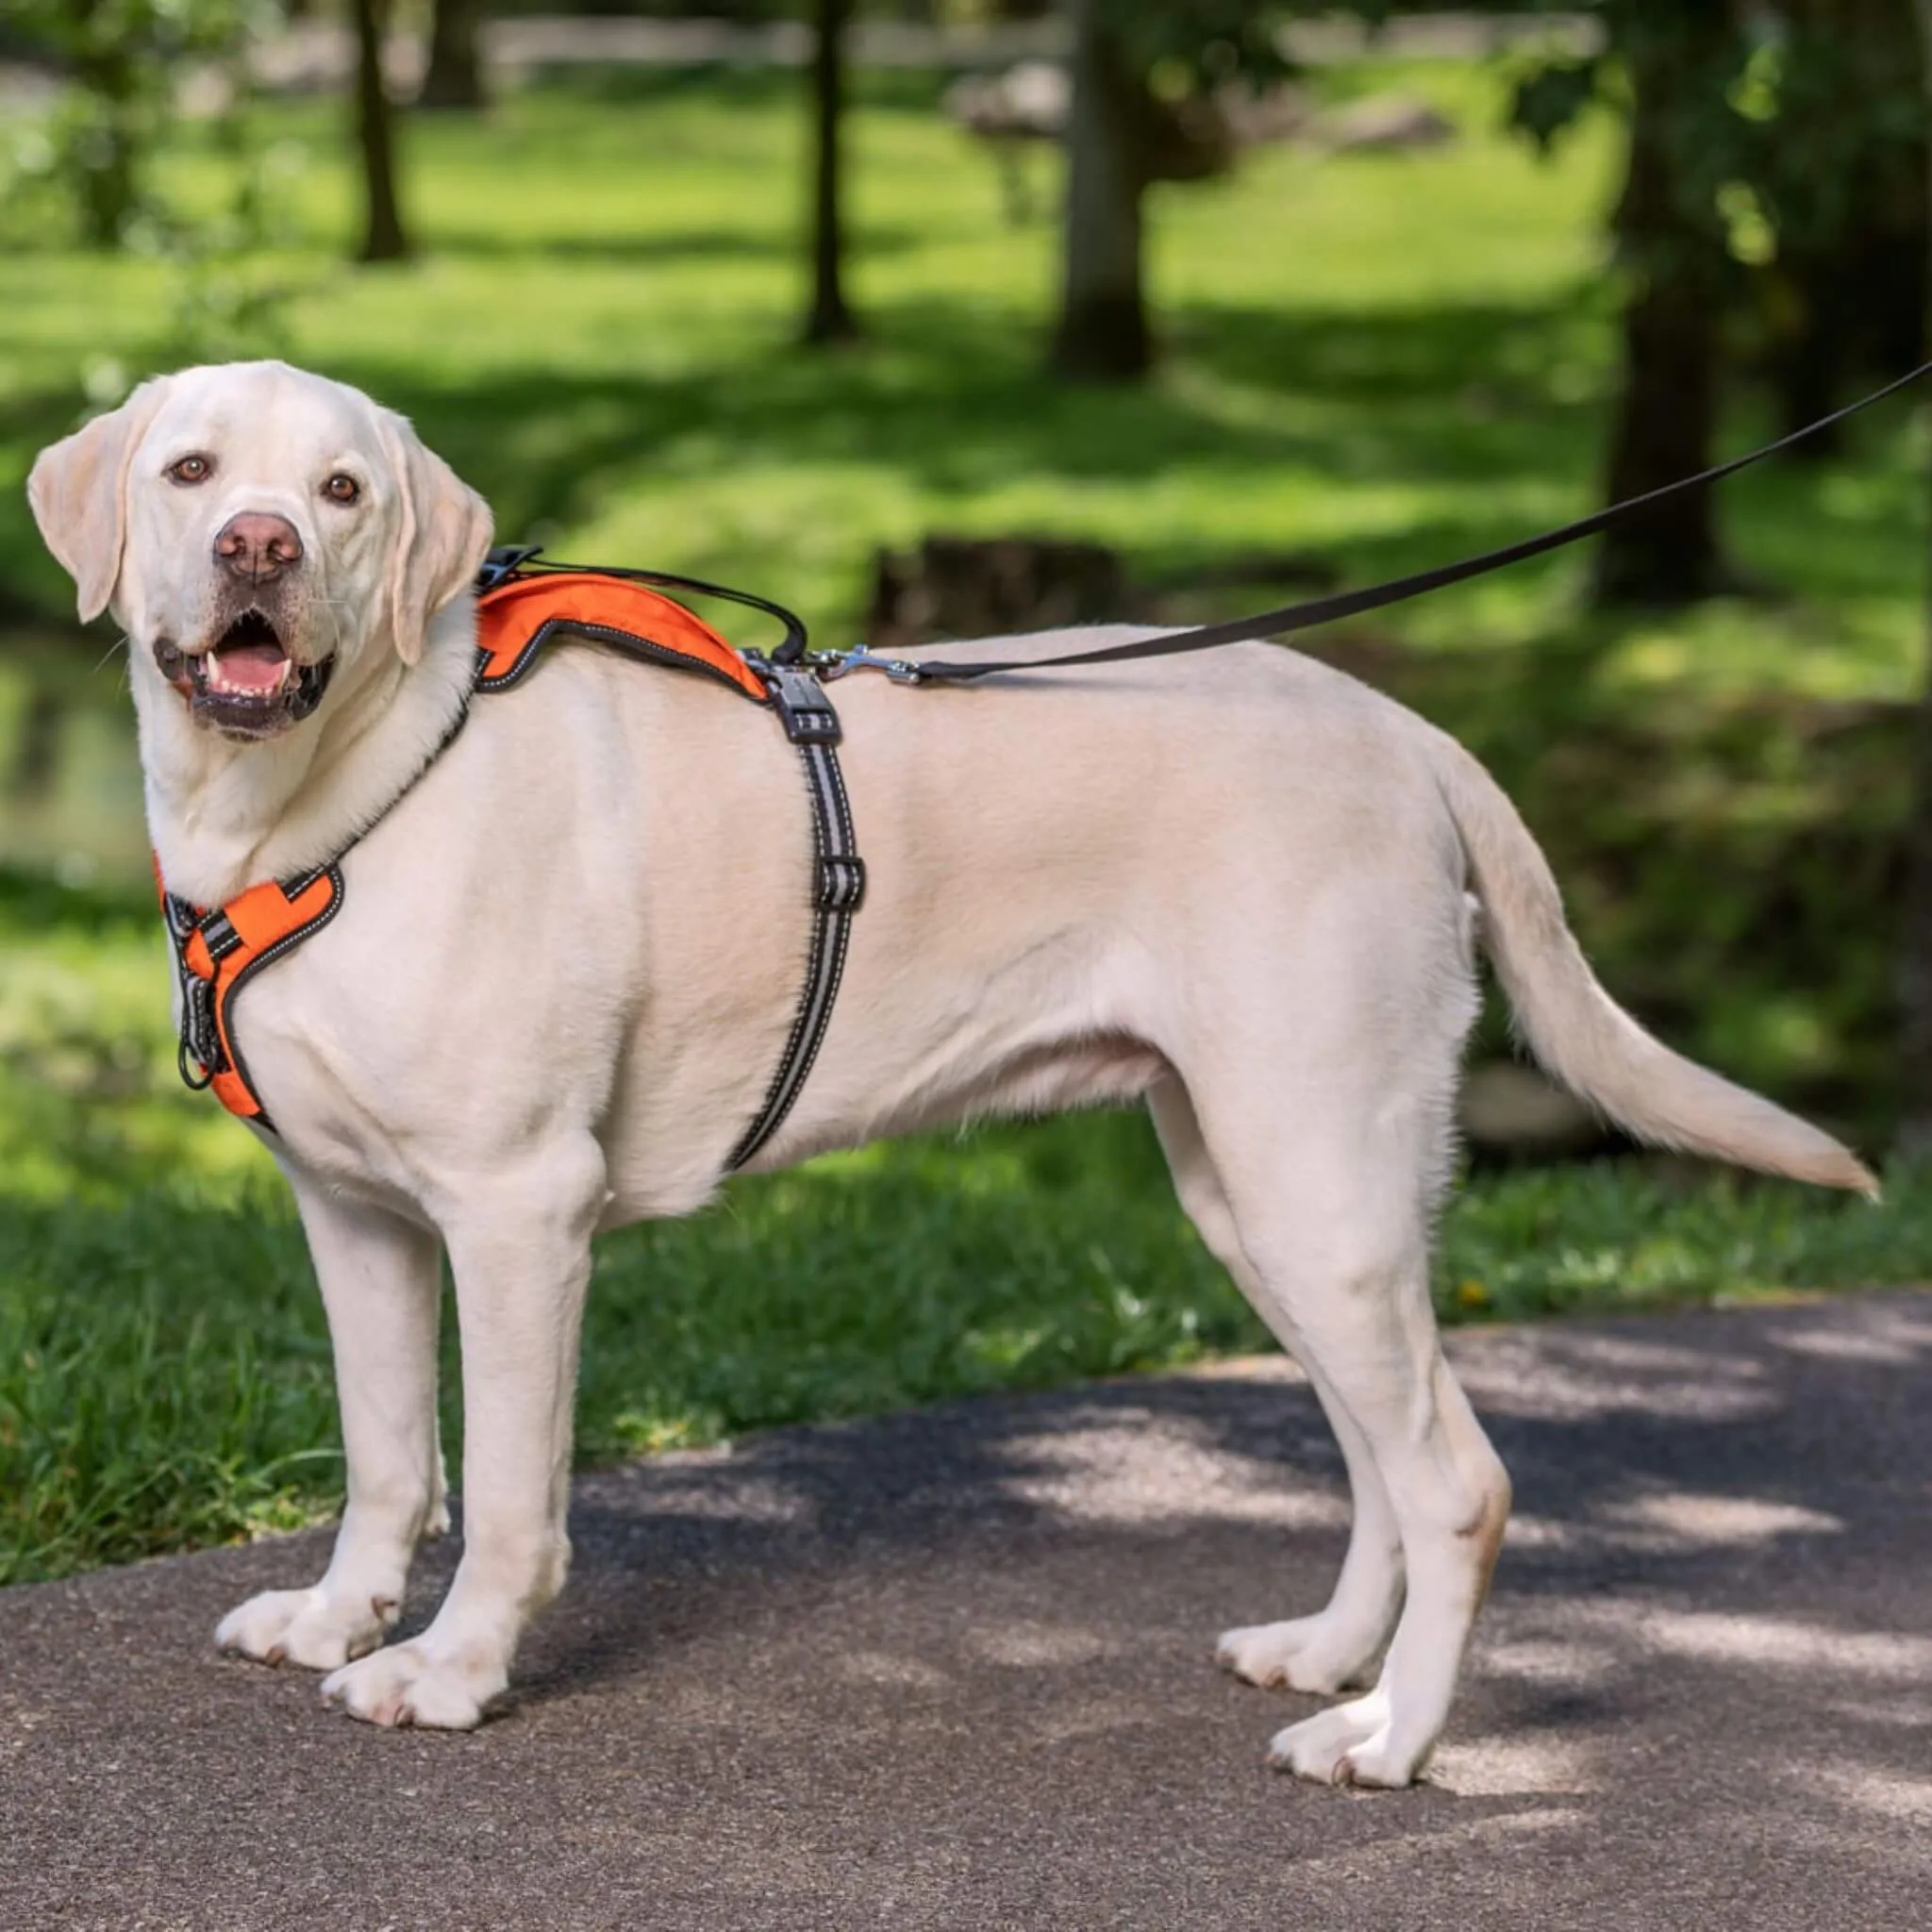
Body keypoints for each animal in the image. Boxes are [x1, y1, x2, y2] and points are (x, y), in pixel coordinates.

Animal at [34, 358, 1870, 1777]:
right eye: (194, 471)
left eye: (342, 492)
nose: (259, 543)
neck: (351, 792)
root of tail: (1405, 731)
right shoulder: (351, 1213)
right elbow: (387, 1460)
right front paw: (337, 1616)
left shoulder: (516, 1210)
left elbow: (502, 1494)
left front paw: (447, 1670)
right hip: (1264, 1194)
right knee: (1381, 1456)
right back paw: (1333, 1659)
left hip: (1312, 1177)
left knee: (1459, 1481)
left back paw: (1391, 1742)